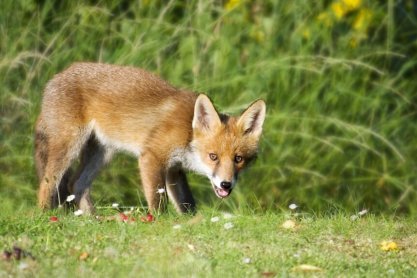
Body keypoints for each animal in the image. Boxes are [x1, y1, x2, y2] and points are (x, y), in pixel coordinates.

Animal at [34, 63, 264, 214]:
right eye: (213, 156)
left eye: (238, 159)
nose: (226, 184)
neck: (188, 132)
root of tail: (56, 77)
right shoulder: (152, 157)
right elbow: (158, 201)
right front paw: (158, 222)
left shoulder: (173, 169)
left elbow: (187, 203)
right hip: (69, 146)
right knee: (48, 182)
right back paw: (45, 215)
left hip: (102, 153)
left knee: (76, 184)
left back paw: (94, 219)